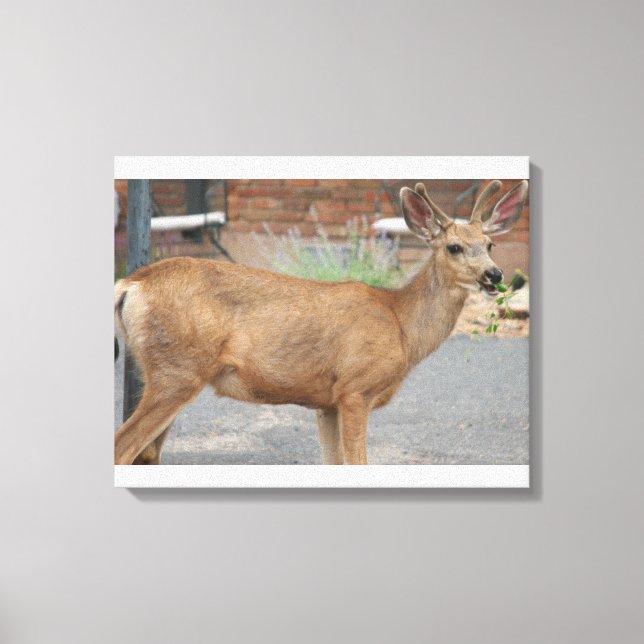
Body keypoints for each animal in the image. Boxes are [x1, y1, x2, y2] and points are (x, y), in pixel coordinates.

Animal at [114, 180, 528, 465]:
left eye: (489, 245)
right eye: (454, 247)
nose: (494, 275)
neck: (401, 324)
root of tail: (131, 284)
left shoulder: (326, 403)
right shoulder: (355, 388)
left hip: (169, 372)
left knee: (146, 454)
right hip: (177, 370)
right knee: (124, 448)